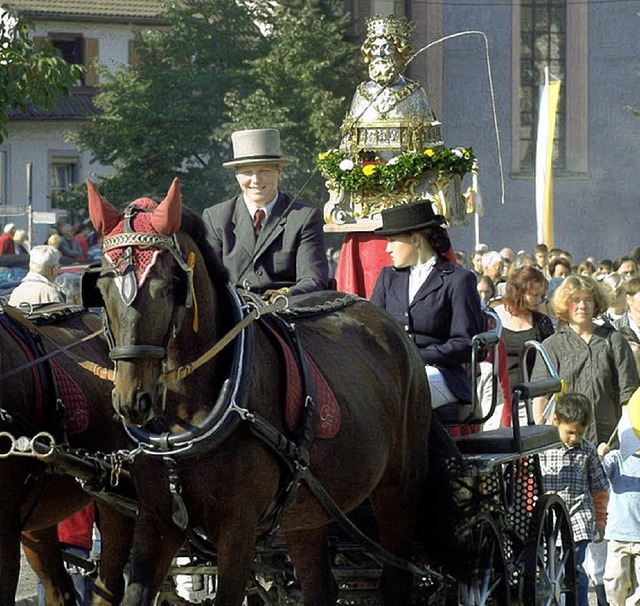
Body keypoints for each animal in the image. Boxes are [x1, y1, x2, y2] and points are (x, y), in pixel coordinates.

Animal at [86, 180, 440, 606]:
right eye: (101, 289)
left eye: (167, 287)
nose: (132, 399)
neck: (187, 419)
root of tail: (389, 325)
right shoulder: (156, 522)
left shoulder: (237, 530)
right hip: (308, 507)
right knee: (319, 585)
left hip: (399, 489)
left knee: (395, 579)